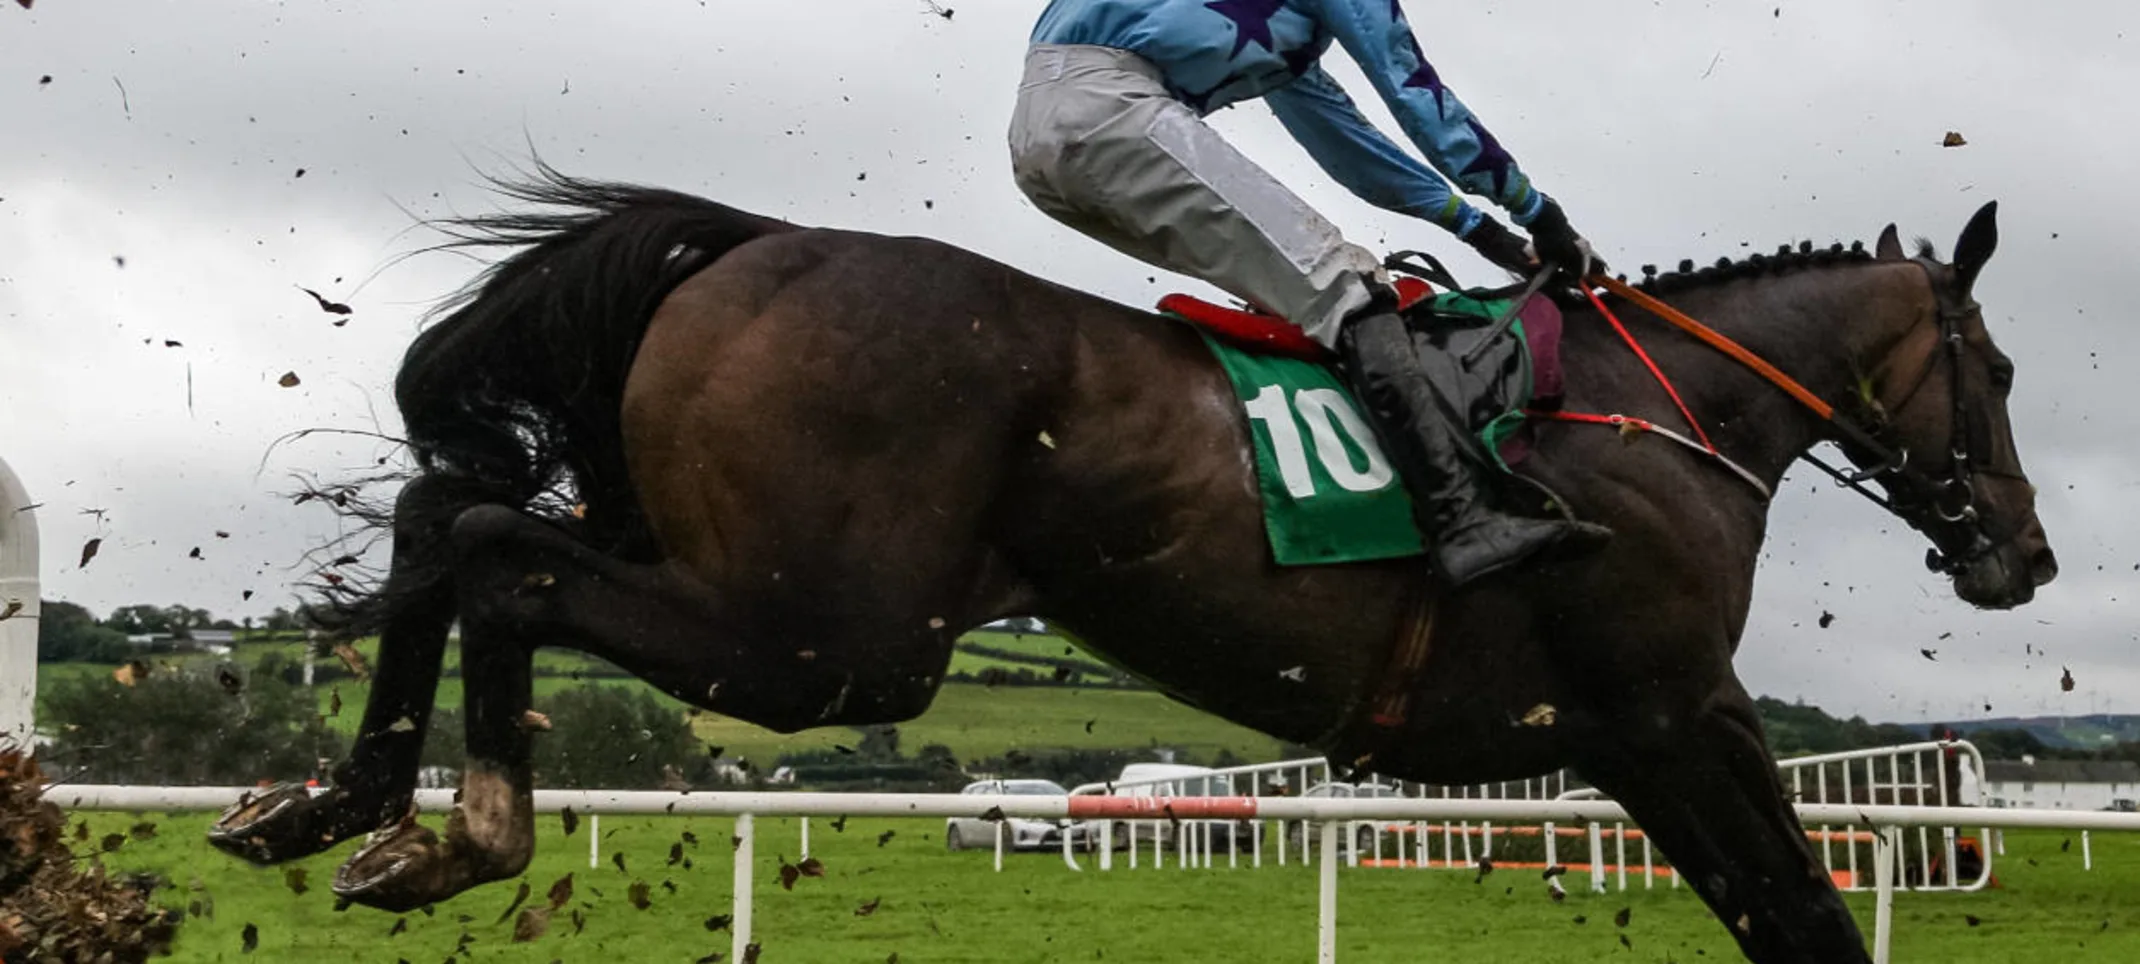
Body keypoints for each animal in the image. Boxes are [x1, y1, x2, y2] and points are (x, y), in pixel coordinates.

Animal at [204, 174, 2054, 964]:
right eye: (2001, 371)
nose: (2024, 554)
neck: (1661, 411)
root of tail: (750, 243)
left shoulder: (1618, 737)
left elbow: (1782, 913)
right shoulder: (1672, 707)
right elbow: (1801, 914)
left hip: (724, 563)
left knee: (447, 523)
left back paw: (340, 803)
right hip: (829, 637)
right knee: (498, 560)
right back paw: (462, 827)